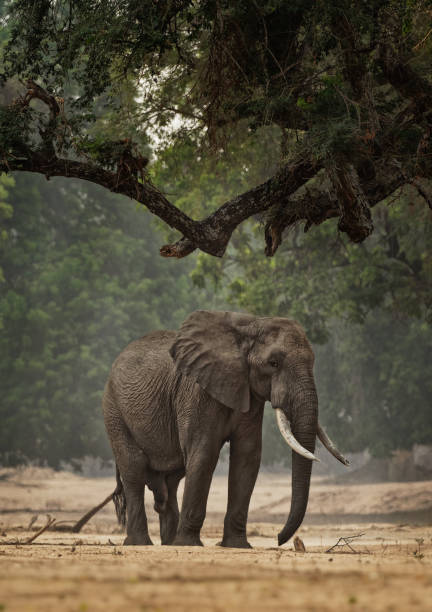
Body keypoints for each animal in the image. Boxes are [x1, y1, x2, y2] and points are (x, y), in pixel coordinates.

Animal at [104, 310, 348, 544]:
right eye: (273, 363)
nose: (279, 538)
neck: (249, 325)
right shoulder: (197, 392)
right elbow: (204, 454)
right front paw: (188, 544)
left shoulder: (249, 394)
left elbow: (247, 456)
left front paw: (237, 545)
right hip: (114, 410)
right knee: (134, 469)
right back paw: (140, 543)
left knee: (170, 482)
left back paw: (168, 542)